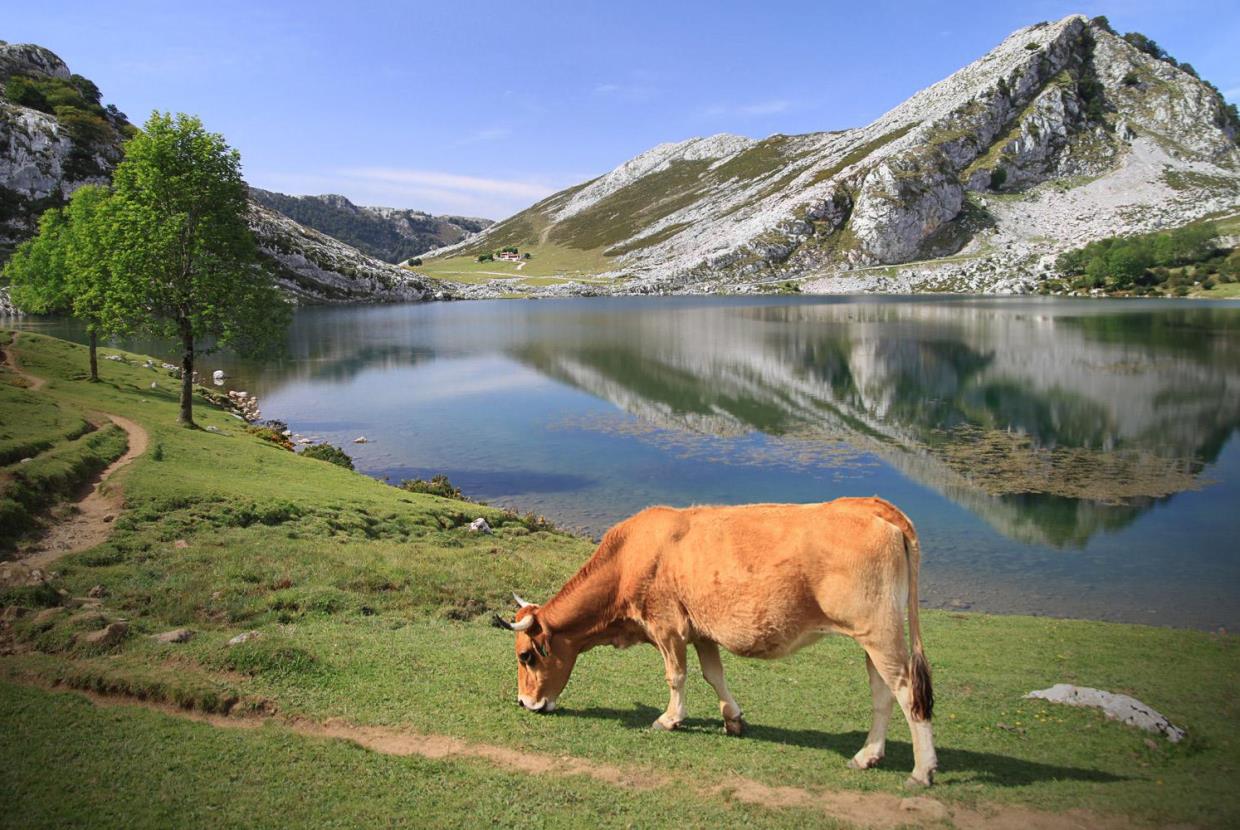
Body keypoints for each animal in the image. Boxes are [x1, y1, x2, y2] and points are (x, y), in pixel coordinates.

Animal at [493, 496, 937, 789]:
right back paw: (867, 756)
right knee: (882, 693)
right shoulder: (701, 630)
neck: (626, 562)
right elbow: (713, 675)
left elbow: (676, 676)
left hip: (879, 632)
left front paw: (670, 719)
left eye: (527, 656)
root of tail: (872, 505)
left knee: (906, 691)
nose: (524, 702)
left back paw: (921, 770)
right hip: (873, 638)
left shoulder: (667, 626)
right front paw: (733, 719)